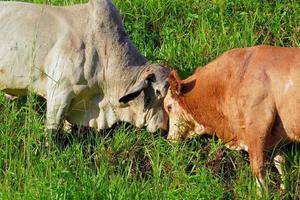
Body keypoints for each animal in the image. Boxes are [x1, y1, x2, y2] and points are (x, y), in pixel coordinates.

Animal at [164, 45, 300, 192]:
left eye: (169, 107)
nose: (169, 139)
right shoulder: (275, 136)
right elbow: (281, 163)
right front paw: (283, 190)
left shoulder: (257, 126)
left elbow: (258, 168)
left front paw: (262, 193)